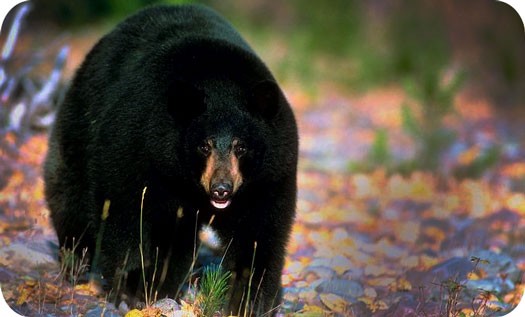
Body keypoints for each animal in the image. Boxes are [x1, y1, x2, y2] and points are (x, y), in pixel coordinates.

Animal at [43, 3, 296, 314]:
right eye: (204, 146)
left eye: (241, 147)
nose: (221, 189)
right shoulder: (139, 146)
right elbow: (126, 211)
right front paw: (132, 289)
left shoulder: (268, 175)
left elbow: (258, 234)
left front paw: (248, 302)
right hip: (80, 123)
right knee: (70, 194)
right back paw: (75, 263)